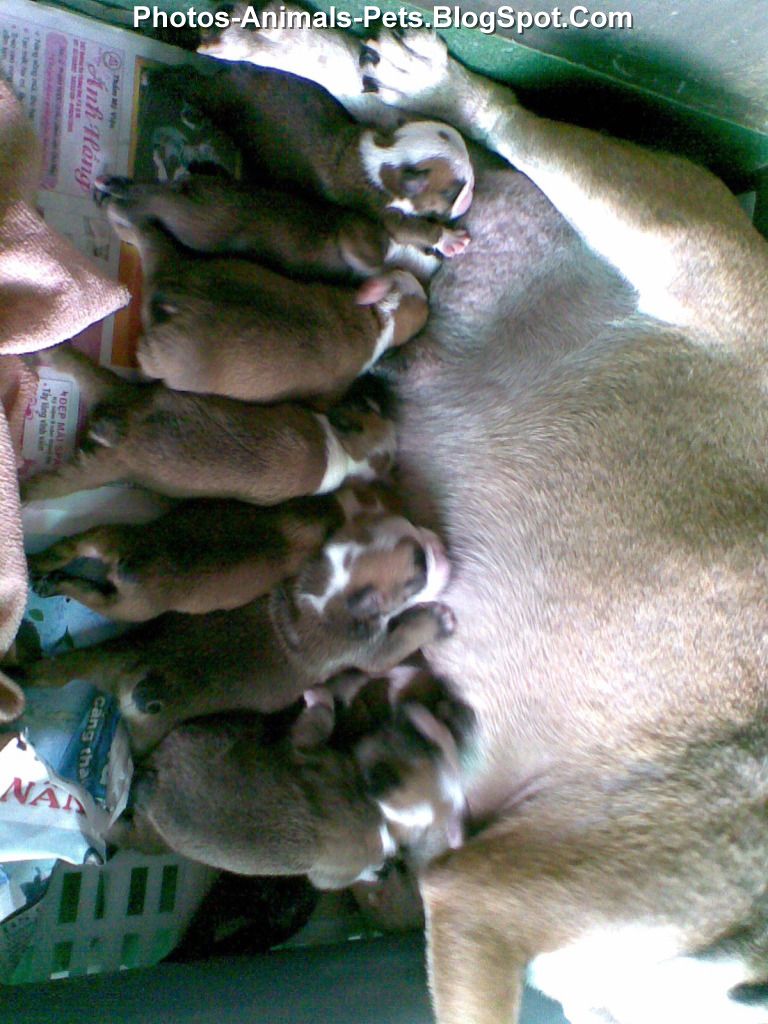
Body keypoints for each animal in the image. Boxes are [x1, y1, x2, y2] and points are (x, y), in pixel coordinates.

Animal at [16, 509, 456, 753]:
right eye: (419, 572)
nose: (436, 541)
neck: (330, 587)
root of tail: (136, 685)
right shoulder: (372, 651)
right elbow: (403, 636)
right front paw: (438, 621)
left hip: (105, 639)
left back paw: (43, 579)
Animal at [99, 186, 430, 401]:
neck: (381, 313)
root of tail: (176, 296)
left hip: (168, 251)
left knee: (144, 230)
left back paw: (116, 210)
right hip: (162, 358)